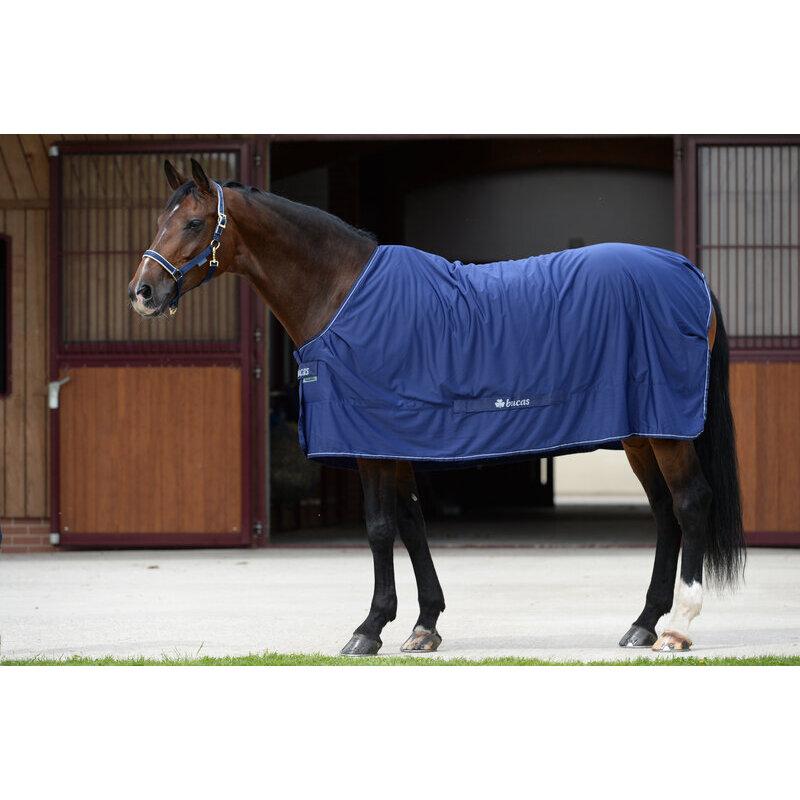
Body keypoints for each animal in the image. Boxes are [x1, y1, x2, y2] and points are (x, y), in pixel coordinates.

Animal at [129, 158, 745, 656]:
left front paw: (369, 629)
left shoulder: (370, 442)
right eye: (160, 219)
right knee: (664, 514)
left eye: (193, 223)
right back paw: (642, 624)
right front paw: (424, 626)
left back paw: (677, 628)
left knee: (690, 503)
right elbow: (412, 523)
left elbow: (380, 528)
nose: (143, 292)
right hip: (643, 432)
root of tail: (690, 273)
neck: (342, 294)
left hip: (667, 432)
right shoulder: (395, 438)